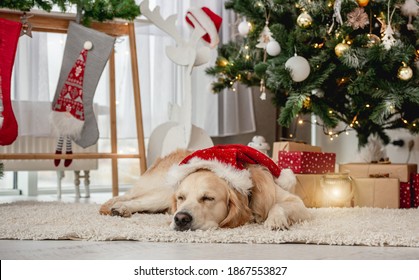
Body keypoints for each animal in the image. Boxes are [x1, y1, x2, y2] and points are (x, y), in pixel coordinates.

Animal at [101, 145, 312, 231]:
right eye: (181, 198)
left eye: (208, 198)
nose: (180, 219)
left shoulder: (297, 203)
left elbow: (279, 205)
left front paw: (275, 220)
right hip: (161, 192)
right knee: (133, 200)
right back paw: (120, 208)